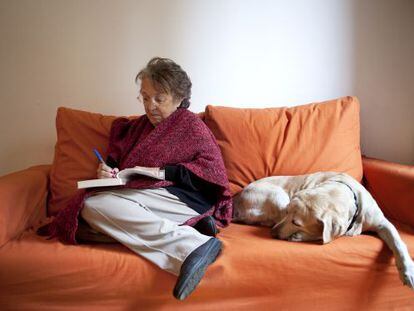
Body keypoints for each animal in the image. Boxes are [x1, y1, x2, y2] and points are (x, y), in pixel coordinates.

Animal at [233, 171, 414, 290]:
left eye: (296, 222)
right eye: (287, 211)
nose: (273, 233)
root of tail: (238, 202)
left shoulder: (383, 223)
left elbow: (398, 243)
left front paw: (408, 271)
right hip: (278, 195)